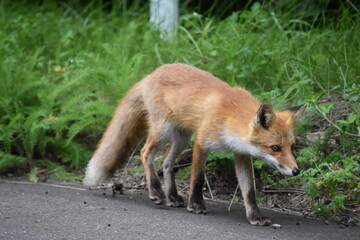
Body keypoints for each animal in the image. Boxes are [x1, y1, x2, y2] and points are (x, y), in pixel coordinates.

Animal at [84, 62, 306, 226]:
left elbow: (249, 191)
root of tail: (151, 74)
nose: (296, 171)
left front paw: (255, 216)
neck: (229, 115)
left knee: (166, 162)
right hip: (163, 131)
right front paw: (196, 204)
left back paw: (172, 196)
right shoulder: (201, 142)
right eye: (275, 148)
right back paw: (156, 191)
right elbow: (197, 178)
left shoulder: (241, 154)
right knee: (146, 153)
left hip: (181, 139)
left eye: (291, 147)